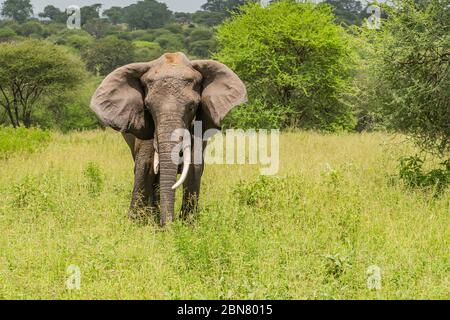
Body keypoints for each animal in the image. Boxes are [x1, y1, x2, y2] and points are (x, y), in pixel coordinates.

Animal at [90, 52, 248, 226]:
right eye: (148, 108)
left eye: (192, 107)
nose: (168, 227)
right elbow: (145, 166)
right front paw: (136, 223)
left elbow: (194, 168)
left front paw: (188, 225)